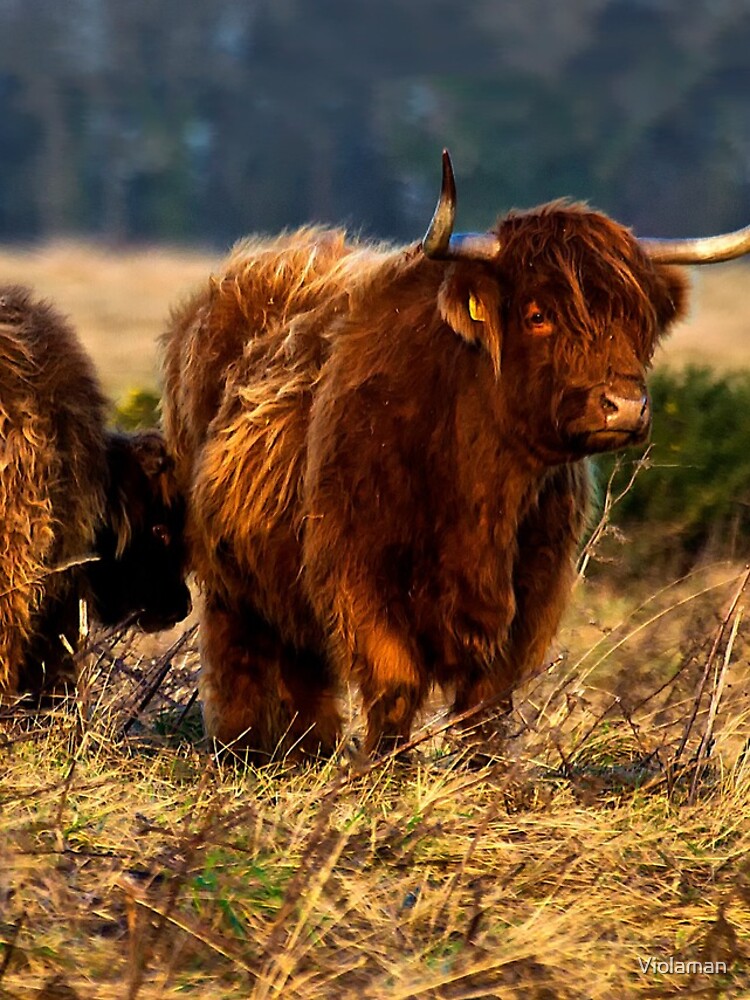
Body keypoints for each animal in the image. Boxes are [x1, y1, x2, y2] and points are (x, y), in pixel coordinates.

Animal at [161, 150, 750, 758]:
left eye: (638, 319)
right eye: (538, 315)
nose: (625, 406)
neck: (480, 487)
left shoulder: (533, 587)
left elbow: (487, 699)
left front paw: (484, 770)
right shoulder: (357, 572)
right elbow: (395, 683)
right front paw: (385, 768)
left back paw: (308, 749)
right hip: (227, 578)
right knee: (239, 656)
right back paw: (243, 748)